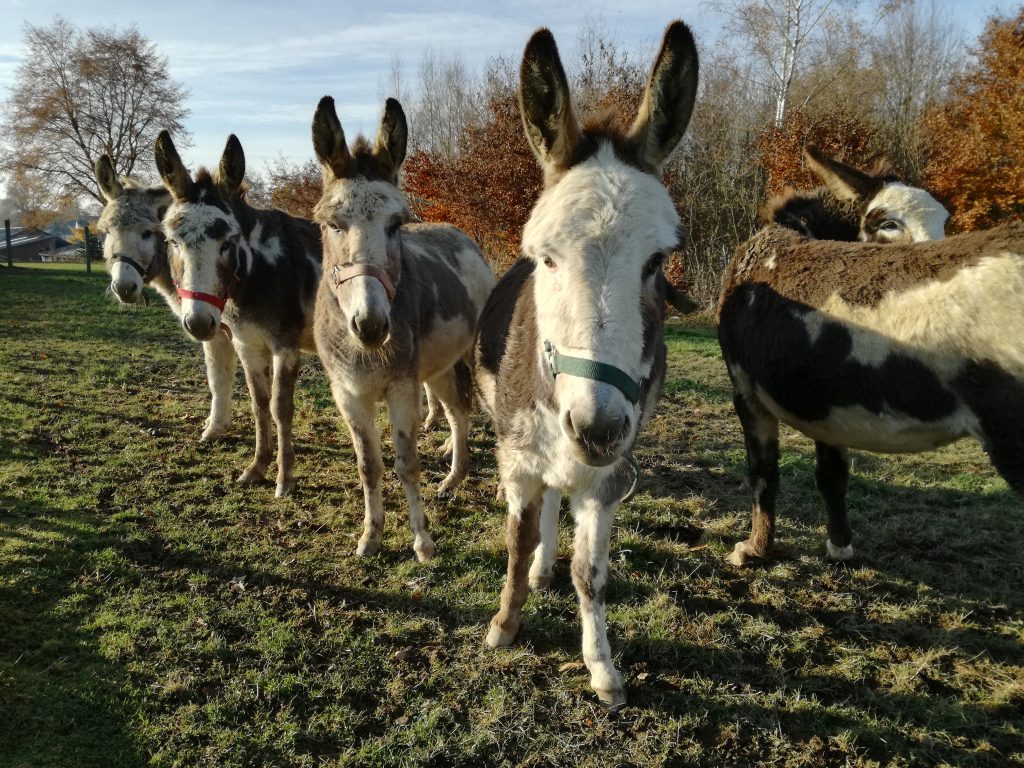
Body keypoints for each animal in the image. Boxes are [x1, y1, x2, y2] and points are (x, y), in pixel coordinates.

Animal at [94, 155, 237, 441]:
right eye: (107, 232)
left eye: (148, 233)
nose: (124, 287)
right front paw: (215, 423)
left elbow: (218, 378)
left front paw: (215, 428)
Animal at [153, 131, 322, 497]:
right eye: (173, 242)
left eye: (227, 242)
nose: (199, 322)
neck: (258, 272)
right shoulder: (247, 344)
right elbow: (260, 405)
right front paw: (257, 468)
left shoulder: (285, 346)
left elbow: (280, 407)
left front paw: (285, 478)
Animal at [311, 96, 496, 562]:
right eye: (332, 224)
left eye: (396, 224)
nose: (371, 325)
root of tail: (461, 236)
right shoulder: (349, 395)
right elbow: (369, 466)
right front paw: (370, 536)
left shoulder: (402, 388)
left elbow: (407, 463)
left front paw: (422, 542)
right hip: (440, 365)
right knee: (457, 412)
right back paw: (453, 477)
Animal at [475, 21, 699, 709]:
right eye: (545, 258)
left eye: (657, 261)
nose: (595, 427)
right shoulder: (519, 459)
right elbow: (516, 543)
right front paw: (504, 626)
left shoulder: (608, 479)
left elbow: (591, 573)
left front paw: (600, 665)